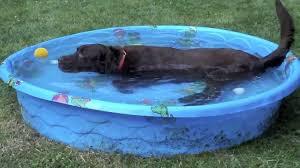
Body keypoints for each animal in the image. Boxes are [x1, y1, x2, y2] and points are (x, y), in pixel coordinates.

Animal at [58, 0, 292, 105]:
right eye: (76, 49)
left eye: (82, 53)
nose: (59, 58)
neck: (121, 58)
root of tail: (258, 60)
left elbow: (119, 83)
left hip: (217, 75)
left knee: (213, 93)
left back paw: (191, 99)